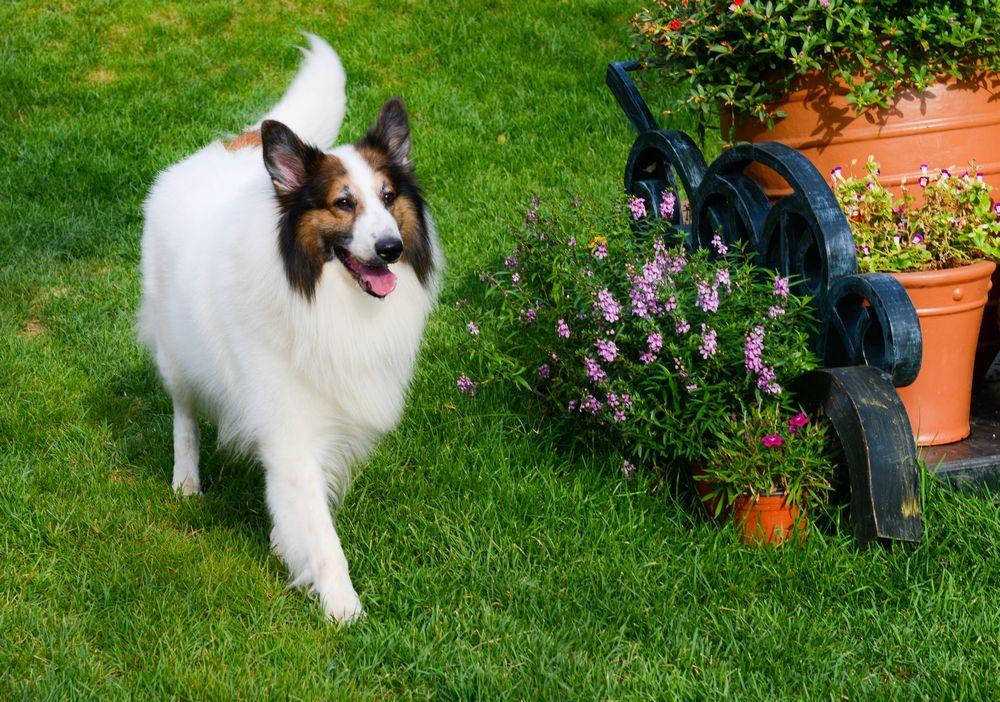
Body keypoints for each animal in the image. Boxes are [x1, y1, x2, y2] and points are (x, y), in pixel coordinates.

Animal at [138, 35, 442, 624]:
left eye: (388, 197)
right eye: (343, 203)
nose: (391, 249)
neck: (323, 296)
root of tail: (238, 142)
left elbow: (303, 505)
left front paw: (290, 549)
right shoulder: (291, 427)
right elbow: (320, 531)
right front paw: (344, 609)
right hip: (176, 353)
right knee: (184, 414)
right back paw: (186, 480)